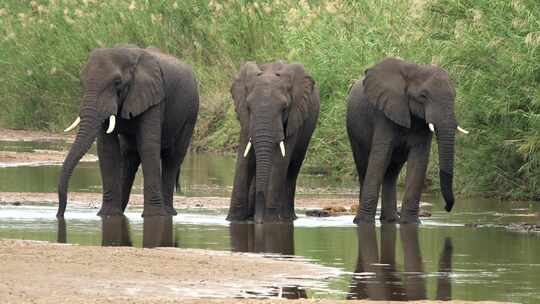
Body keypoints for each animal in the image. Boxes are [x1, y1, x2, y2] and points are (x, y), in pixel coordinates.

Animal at [56, 44, 198, 218]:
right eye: (82, 82)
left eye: (117, 82)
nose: (60, 214)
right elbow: (107, 150)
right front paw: (107, 215)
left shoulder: (155, 97)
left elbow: (148, 147)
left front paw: (153, 216)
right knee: (129, 157)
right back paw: (121, 211)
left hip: (191, 114)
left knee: (172, 159)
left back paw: (169, 213)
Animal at [226, 61, 318, 223]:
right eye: (248, 107)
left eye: (284, 107)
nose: (257, 219)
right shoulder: (245, 119)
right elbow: (244, 160)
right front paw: (233, 219)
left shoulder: (294, 118)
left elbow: (278, 162)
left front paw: (269, 221)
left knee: (292, 169)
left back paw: (288, 218)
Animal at [348, 57, 466, 223]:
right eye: (423, 96)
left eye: (454, 96)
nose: (446, 208)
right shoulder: (384, 114)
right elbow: (380, 158)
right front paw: (363, 222)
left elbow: (419, 160)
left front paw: (411, 223)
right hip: (354, 134)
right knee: (364, 168)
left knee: (391, 172)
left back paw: (391, 219)